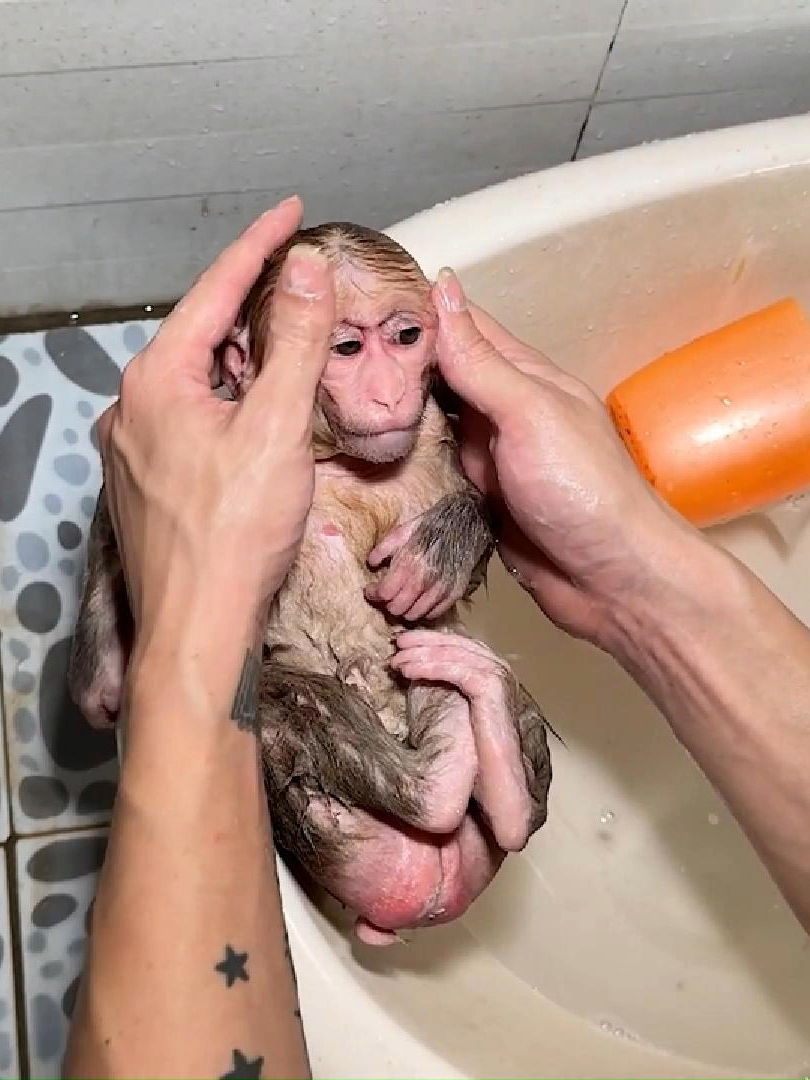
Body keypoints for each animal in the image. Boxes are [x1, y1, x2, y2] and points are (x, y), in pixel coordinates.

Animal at [69, 221, 557, 946]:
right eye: (348, 346)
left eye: (406, 337)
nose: (389, 390)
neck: (343, 461)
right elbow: (118, 517)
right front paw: (99, 679)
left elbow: (491, 498)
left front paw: (442, 550)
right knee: (291, 704)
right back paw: (441, 753)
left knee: (511, 813)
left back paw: (484, 714)